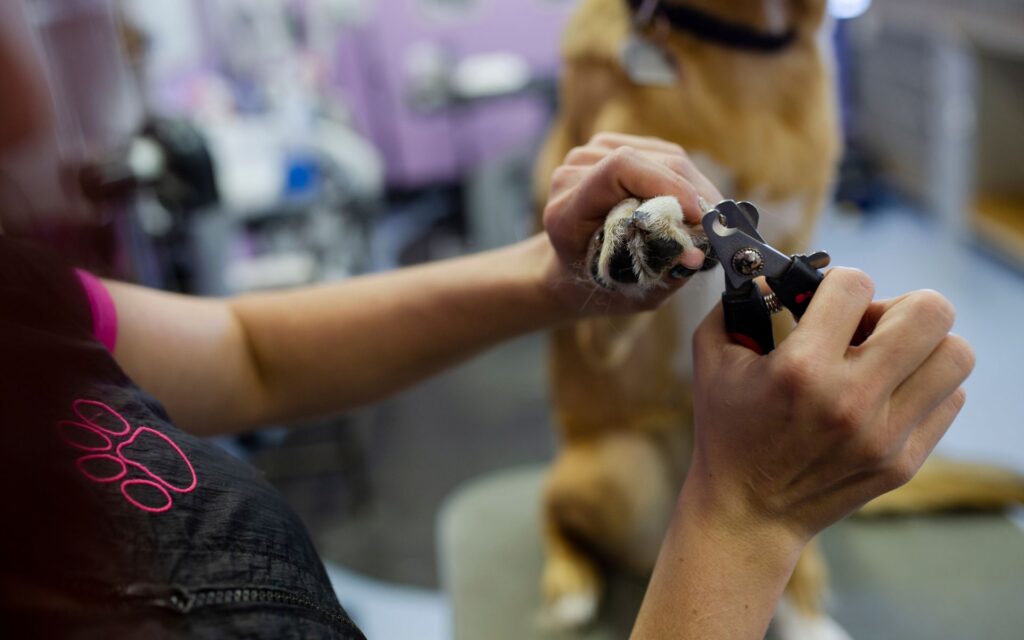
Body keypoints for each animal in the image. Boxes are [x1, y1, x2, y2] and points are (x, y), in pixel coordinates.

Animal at [536, 2, 1024, 634]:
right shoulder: (602, 333)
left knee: (799, 562)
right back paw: (568, 581)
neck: (741, 58)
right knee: (551, 509)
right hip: (617, 474)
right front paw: (631, 226)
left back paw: (809, 619)